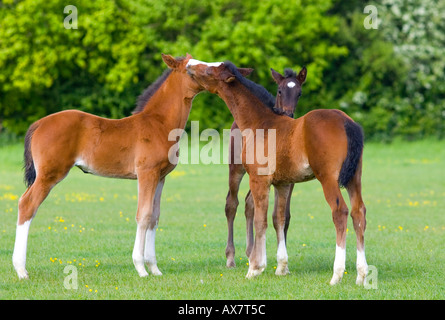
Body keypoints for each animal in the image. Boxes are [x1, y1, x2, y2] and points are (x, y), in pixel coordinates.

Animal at [12, 53, 203, 278]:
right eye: (191, 69)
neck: (159, 123)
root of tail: (38, 124)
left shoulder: (160, 177)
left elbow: (154, 217)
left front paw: (155, 268)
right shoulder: (147, 173)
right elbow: (143, 215)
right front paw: (141, 268)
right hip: (49, 174)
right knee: (27, 205)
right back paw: (21, 270)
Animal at [186, 60, 366, 284]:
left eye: (210, 70)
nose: (189, 66)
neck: (261, 123)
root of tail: (346, 122)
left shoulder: (259, 179)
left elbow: (260, 220)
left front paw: (255, 267)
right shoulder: (283, 183)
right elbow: (279, 218)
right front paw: (281, 266)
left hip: (328, 178)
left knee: (340, 212)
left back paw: (337, 274)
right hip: (354, 178)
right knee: (359, 213)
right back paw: (362, 275)